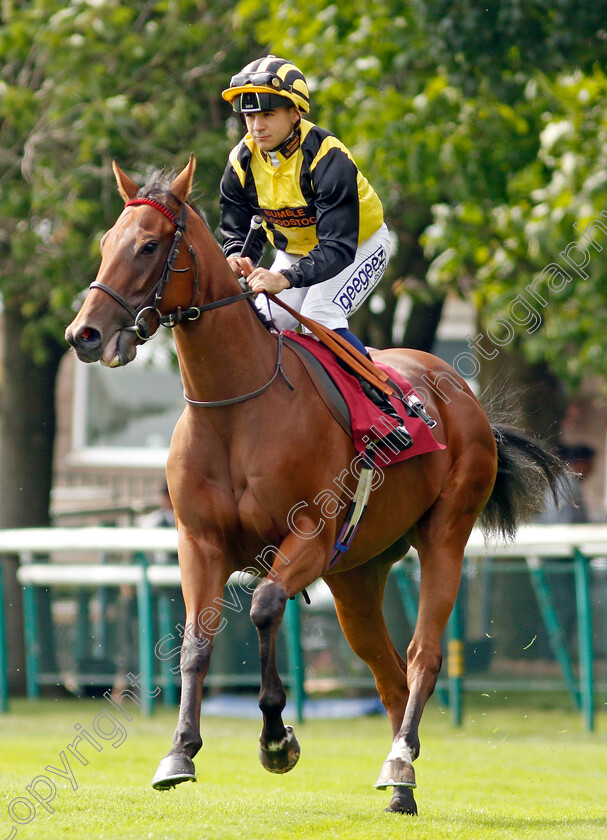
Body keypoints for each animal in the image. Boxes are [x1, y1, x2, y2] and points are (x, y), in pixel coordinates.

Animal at [64, 156, 564, 812]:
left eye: (148, 245)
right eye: (105, 244)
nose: (84, 335)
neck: (235, 408)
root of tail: (461, 393)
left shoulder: (309, 535)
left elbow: (264, 606)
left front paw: (277, 739)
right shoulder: (200, 543)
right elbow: (196, 643)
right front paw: (179, 752)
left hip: (444, 536)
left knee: (422, 656)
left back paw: (401, 762)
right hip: (356, 575)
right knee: (387, 673)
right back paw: (399, 783)